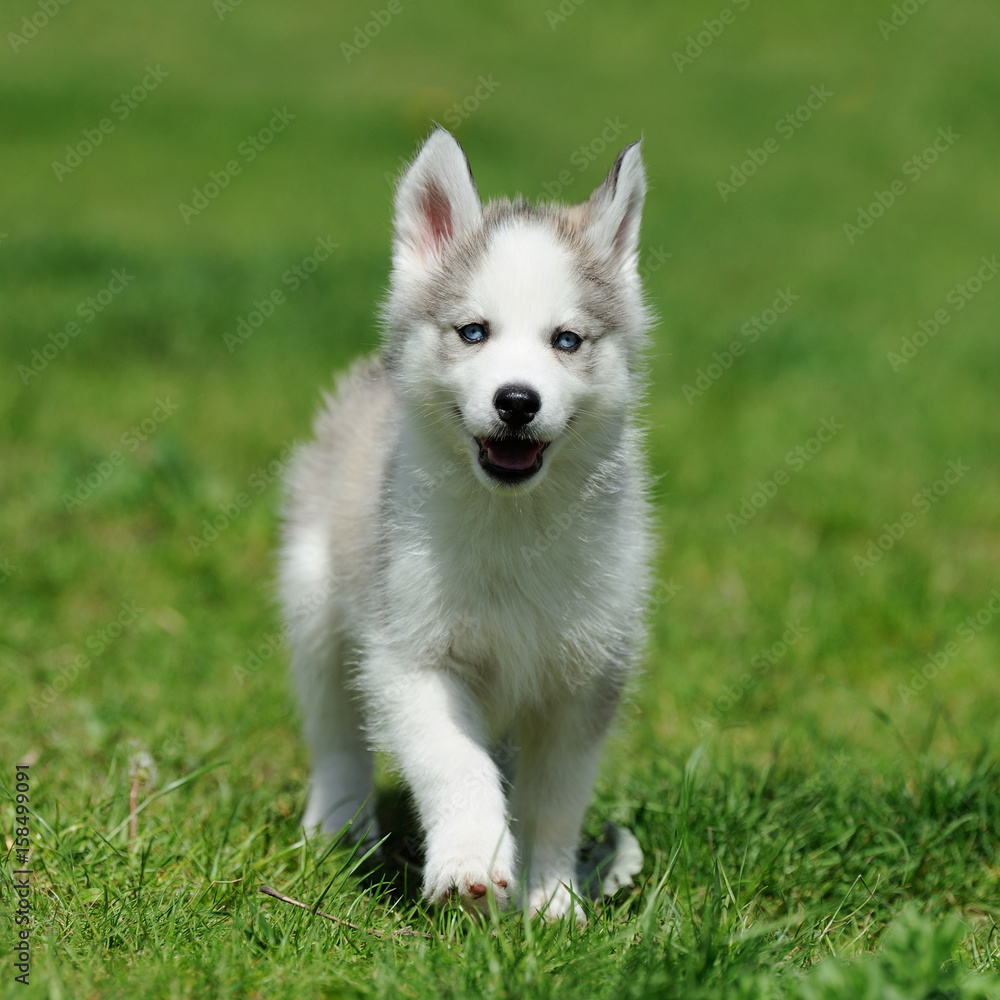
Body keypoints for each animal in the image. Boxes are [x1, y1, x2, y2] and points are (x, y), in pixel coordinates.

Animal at [282, 127, 656, 920]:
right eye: (474, 332)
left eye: (567, 341)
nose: (517, 401)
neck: (512, 522)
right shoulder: (412, 656)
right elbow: (456, 763)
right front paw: (469, 867)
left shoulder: (585, 678)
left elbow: (554, 801)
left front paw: (552, 900)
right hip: (314, 607)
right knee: (336, 734)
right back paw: (338, 828)